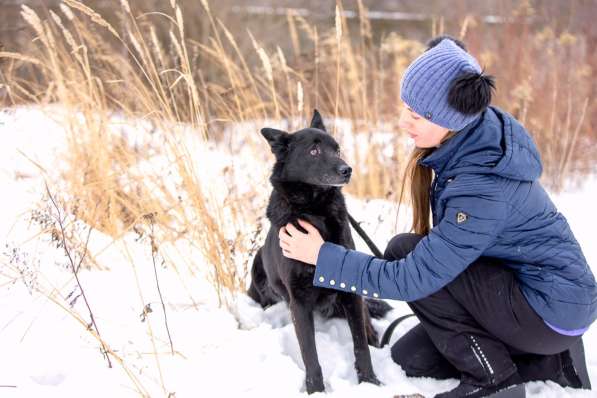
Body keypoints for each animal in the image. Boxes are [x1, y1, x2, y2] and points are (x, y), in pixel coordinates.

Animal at [247, 110, 392, 394]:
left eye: (337, 149)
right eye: (313, 151)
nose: (347, 170)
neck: (315, 210)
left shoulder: (349, 292)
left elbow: (359, 344)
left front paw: (369, 381)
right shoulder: (299, 301)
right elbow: (309, 354)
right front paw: (316, 390)